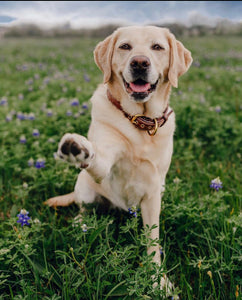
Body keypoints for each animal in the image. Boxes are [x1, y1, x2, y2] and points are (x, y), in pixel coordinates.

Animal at [45, 25, 193, 292]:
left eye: (157, 47)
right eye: (125, 46)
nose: (140, 62)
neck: (140, 123)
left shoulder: (153, 191)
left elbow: (152, 241)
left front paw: (158, 281)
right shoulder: (105, 159)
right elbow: (96, 158)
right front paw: (77, 148)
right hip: (85, 188)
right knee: (84, 209)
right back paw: (80, 223)